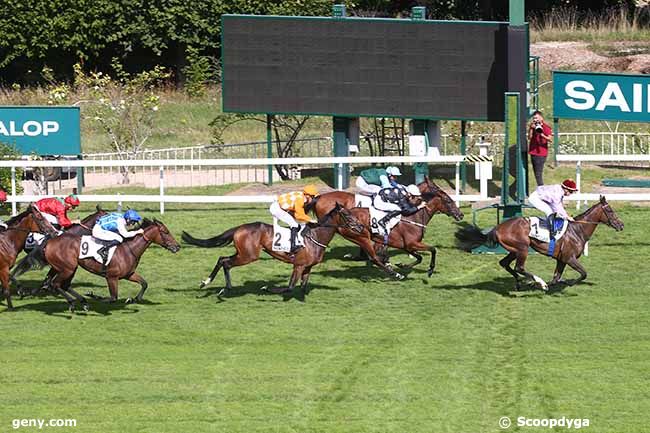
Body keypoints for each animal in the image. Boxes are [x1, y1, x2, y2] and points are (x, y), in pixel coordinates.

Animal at [22, 219, 180, 310]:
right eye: (166, 232)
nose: (177, 247)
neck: (129, 249)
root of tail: (50, 242)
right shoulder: (111, 277)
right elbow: (112, 298)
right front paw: (93, 295)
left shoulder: (129, 274)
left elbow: (144, 283)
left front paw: (134, 299)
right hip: (67, 268)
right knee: (55, 284)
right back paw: (74, 303)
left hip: (68, 267)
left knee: (61, 284)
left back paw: (82, 302)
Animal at [182, 202, 364, 296]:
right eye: (347, 215)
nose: (361, 227)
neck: (316, 236)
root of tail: (239, 228)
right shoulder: (298, 265)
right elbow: (290, 287)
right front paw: (266, 288)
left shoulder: (307, 267)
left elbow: (303, 287)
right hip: (249, 256)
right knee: (226, 262)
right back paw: (223, 288)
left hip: (243, 252)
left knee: (222, 259)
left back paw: (209, 283)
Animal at [456, 196, 624, 290]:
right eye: (610, 211)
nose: (621, 225)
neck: (577, 230)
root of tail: (497, 228)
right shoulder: (569, 258)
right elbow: (583, 273)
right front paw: (563, 284)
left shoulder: (561, 259)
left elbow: (556, 278)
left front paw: (549, 284)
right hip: (523, 248)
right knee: (519, 267)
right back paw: (538, 282)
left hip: (514, 250)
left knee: (505, 264)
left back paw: (520, 282)